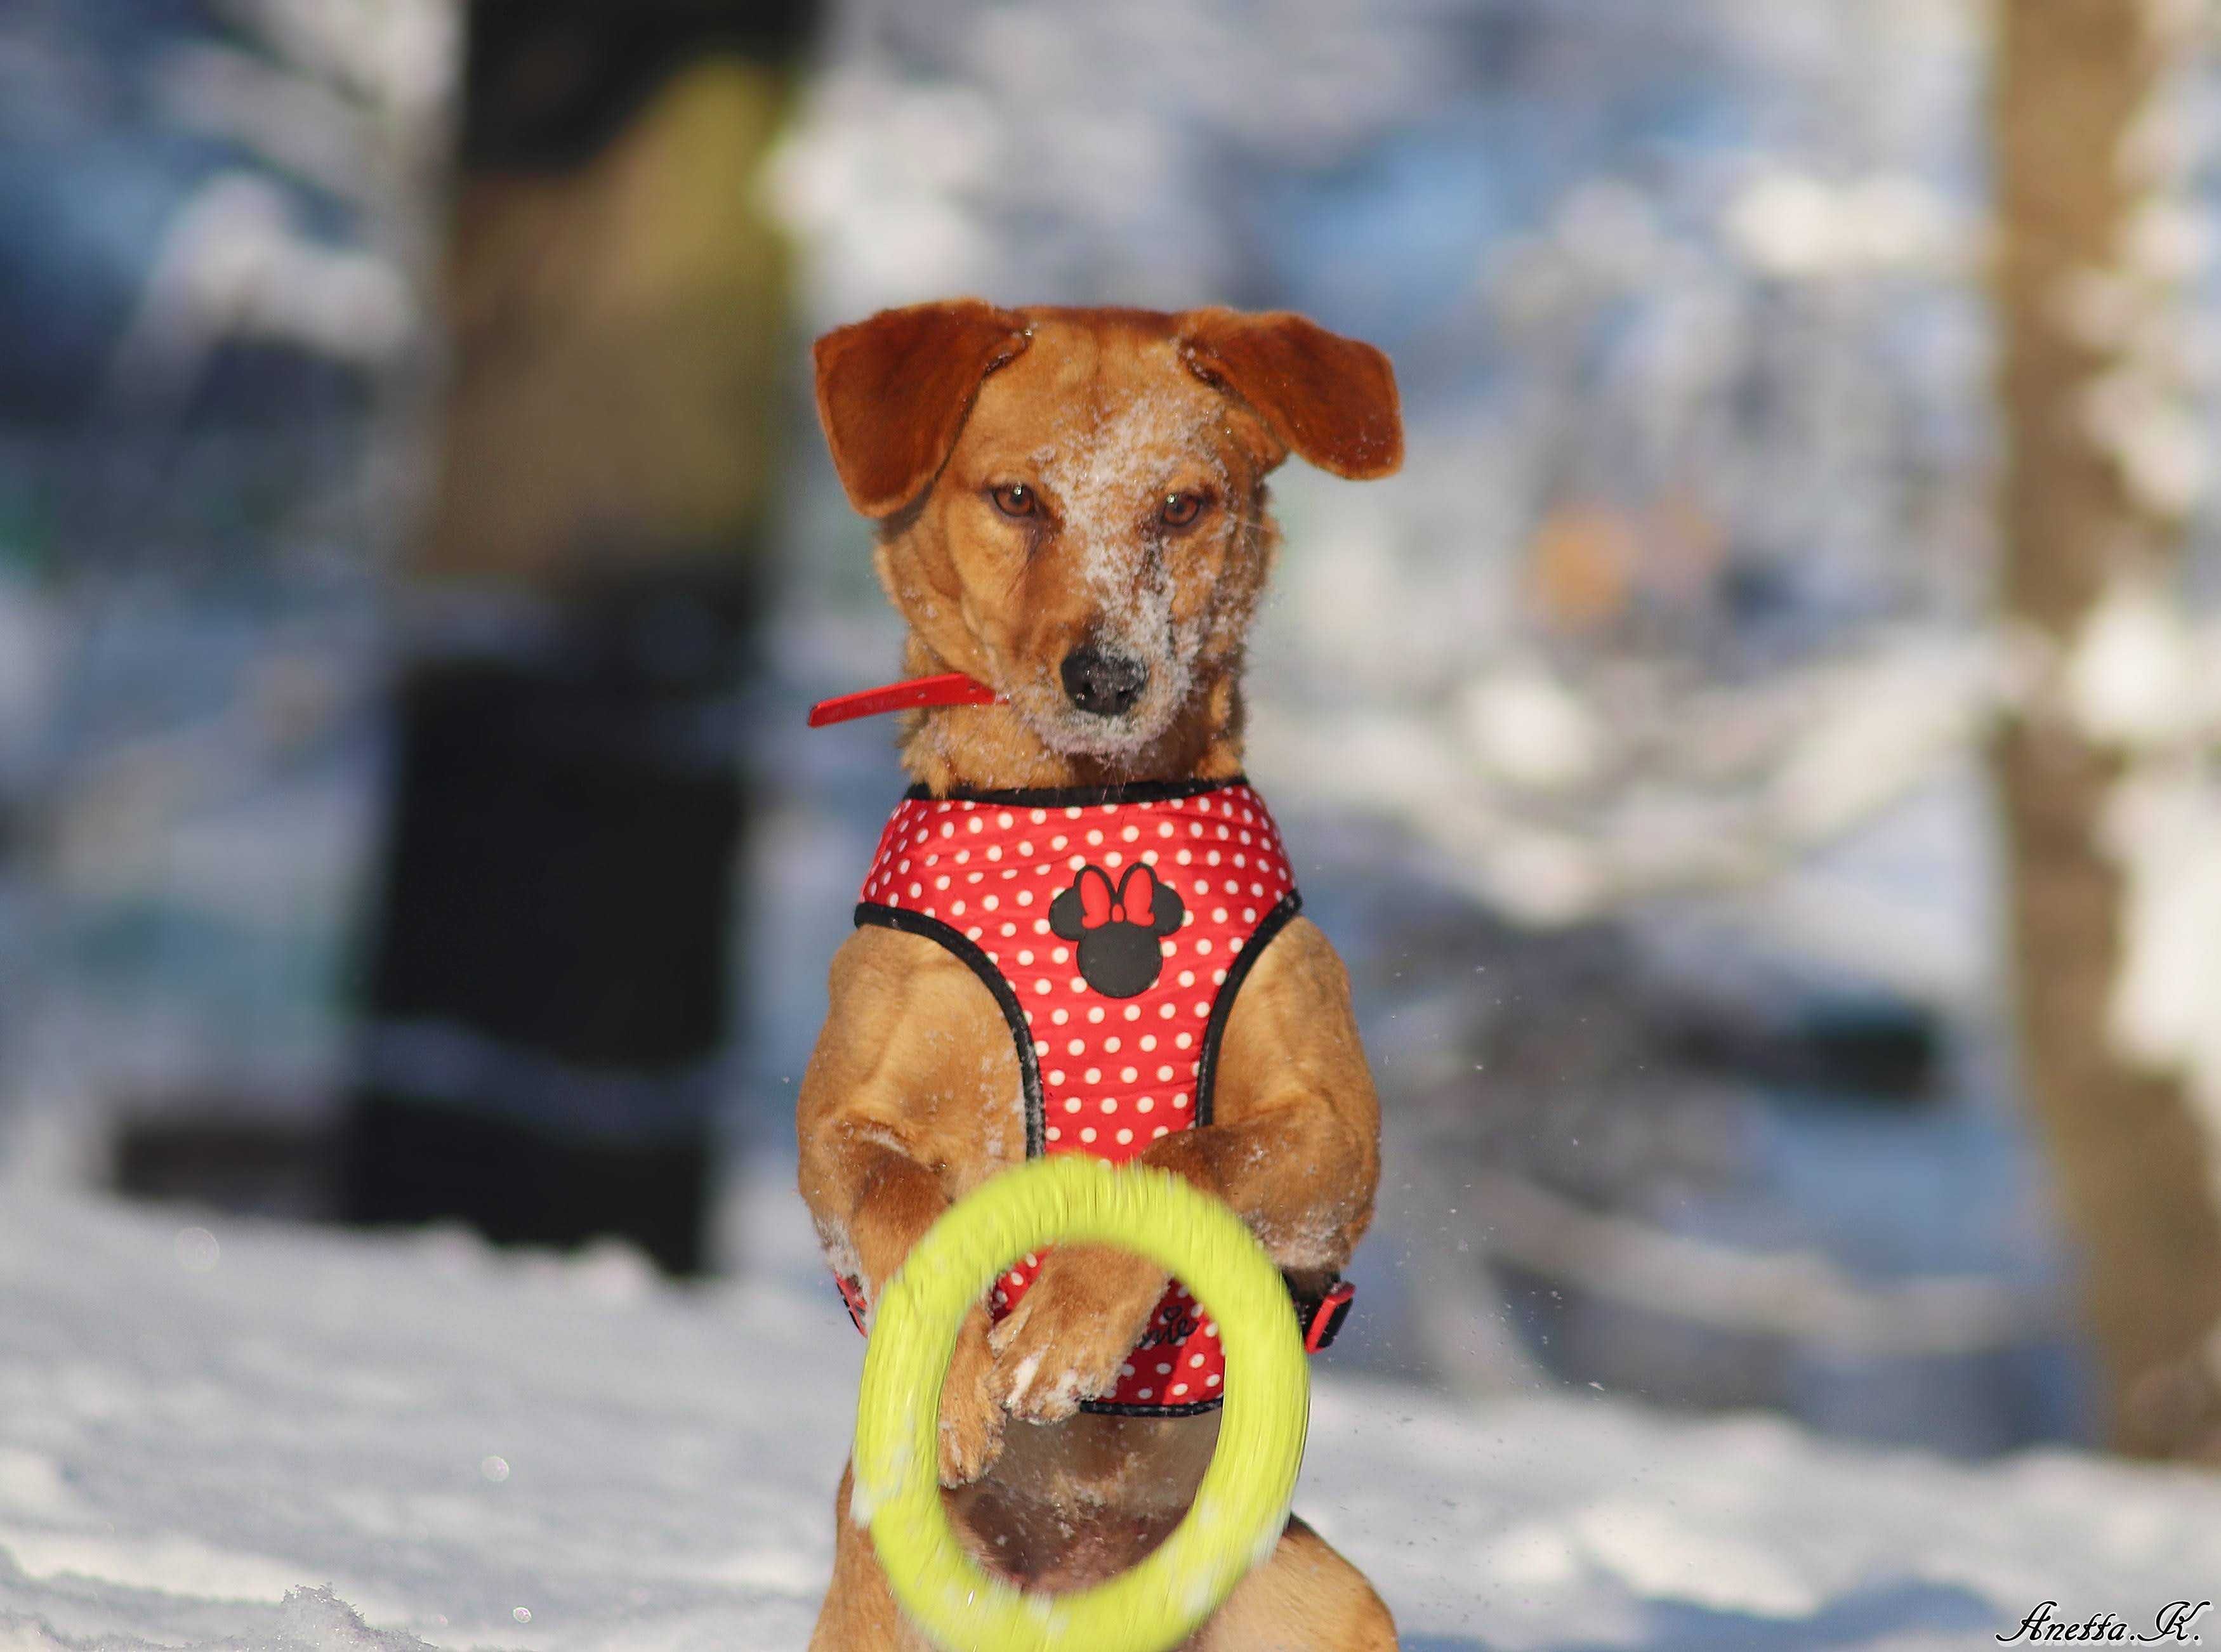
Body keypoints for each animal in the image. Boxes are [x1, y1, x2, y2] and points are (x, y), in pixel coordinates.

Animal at [800, 304, 1404, 1643]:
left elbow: (1180, 1154)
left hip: (1330, 1599)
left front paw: (1064, 1328)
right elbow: (904, 1201)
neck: (1082, 808)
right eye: (1018, 497)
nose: (1110, 674)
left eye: (1183, 504)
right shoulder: (835, 1124)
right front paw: (963, 1381)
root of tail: (1071, 1583)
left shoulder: (1337, 1136)